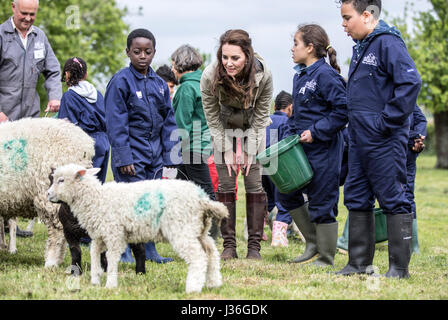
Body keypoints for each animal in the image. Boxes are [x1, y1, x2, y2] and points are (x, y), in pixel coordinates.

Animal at [47, 164, 229, 294]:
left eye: (61, 180)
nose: (48, 194)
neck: (96, 198)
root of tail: (202, 199)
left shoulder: (114, 234)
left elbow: (111, 258)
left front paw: (110, 284)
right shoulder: (99, 236)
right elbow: (94, 255)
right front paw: (95, 281)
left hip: (182, 228)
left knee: (198, 256)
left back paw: (193, 288)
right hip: (199, 230)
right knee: (211, 253)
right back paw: (213, 283)